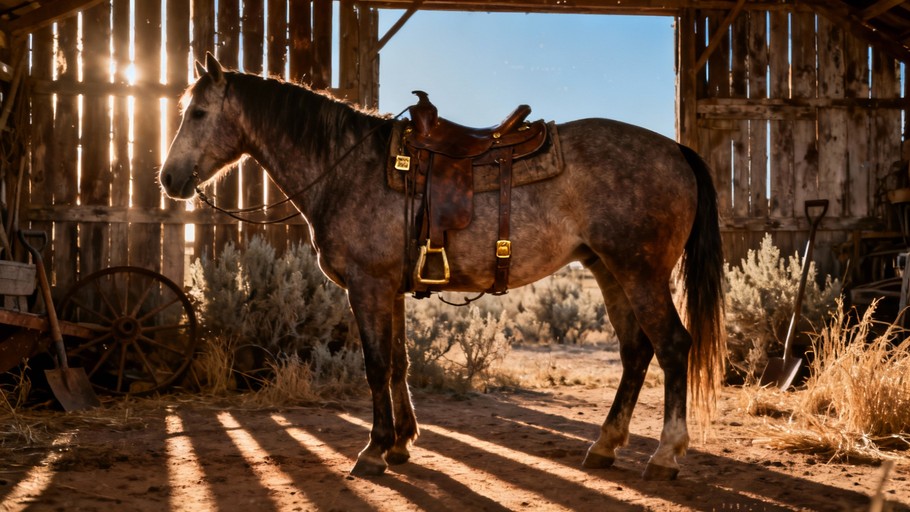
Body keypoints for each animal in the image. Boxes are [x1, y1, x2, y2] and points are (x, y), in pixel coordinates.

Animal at [159, 52, 726, 481]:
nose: (168, 179)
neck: (346, 168)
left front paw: (373, 451)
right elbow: (398, 363)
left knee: (672, 346)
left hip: (641, 273)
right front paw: (401, 445)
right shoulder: (389, 289)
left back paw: (665, 455)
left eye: (199, 113)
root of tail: (677, 150)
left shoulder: (367, 285)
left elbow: (375, 365)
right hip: (610, 271)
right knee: (635, 352)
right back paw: (605, 446)